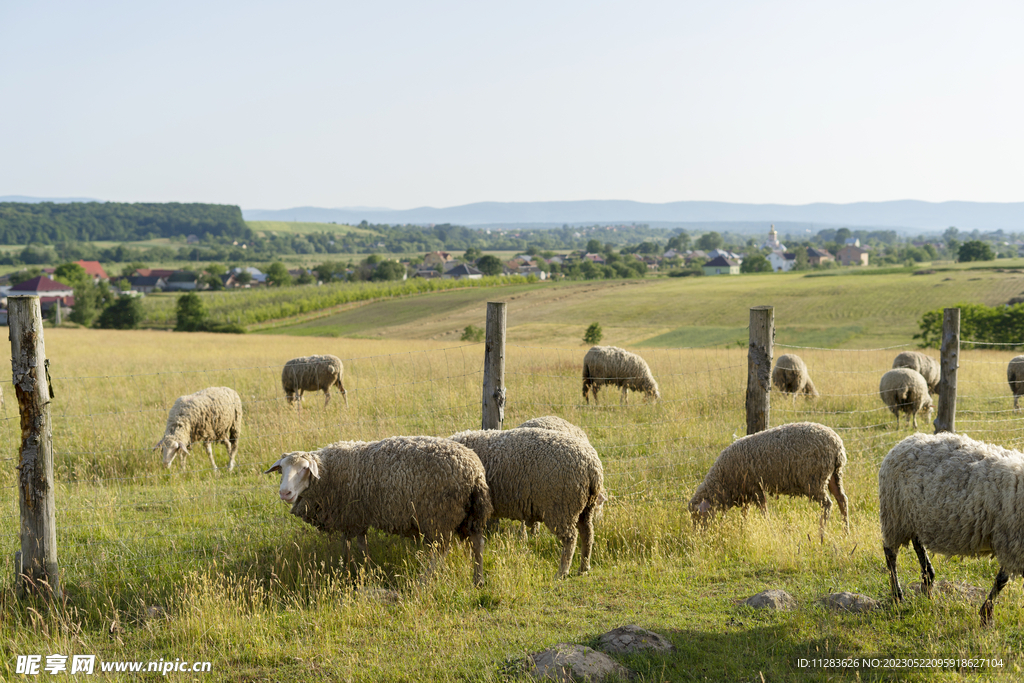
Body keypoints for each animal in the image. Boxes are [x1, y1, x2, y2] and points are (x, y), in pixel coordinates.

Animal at [262, 436, 489, 585]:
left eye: (304, 469)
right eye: (282, 470)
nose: (285, 493)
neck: (328, 472)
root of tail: (474, 472)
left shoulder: (350, 516)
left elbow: (350, 545)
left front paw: (350, 570)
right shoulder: (357, 516)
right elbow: (360, 545)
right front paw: (365, 567)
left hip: (438, 515)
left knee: (441, 551)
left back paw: (423, 580)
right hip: (471, 515)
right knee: (477, 544)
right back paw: (478, 579)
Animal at [450, 428, 606, 577]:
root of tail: (592, 466)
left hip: (561, 508)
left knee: (570, 538)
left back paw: (562, 572)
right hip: (584, 508)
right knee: (588, 533)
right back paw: (583, 568)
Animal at [692, 419, 851, 540]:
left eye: (698, 516)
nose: (698, 536)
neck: (723, 481)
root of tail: (837, 445)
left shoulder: (755, 488)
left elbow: (764, 512)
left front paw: (770, 531)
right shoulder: (746, 492)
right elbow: (745, 513)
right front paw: (743, 530)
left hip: (814, 480)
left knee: (827, 504)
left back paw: (821, 534)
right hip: (834, 475)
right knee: (842, 499)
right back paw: (845, 532)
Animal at [876, 436, 1024, 626]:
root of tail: (905, 441)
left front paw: (986, 612)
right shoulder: (1011, 542)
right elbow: (1001, 580)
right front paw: (986, 614)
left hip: (915, 516)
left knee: (918, 544)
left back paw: (928, 584)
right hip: (894, 515)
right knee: (890, 554)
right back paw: (898, 596)